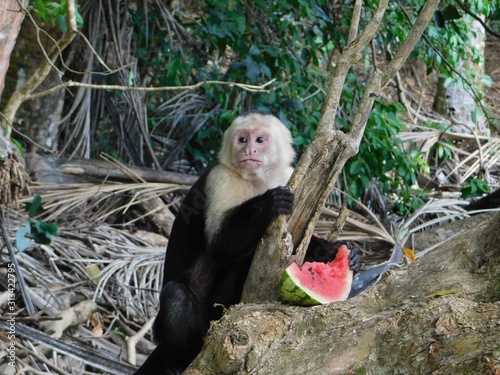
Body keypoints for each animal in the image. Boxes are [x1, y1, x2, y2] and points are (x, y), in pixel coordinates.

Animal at [135, 112, 358, 375]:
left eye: (260, 139)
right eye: (242, 139)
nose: (249, 149)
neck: (259, 180)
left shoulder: (286, 175)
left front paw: (335, 252)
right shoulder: (222, 178)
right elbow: (221, 245)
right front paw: (269, 203)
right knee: (176, 295)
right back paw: (179, 361)